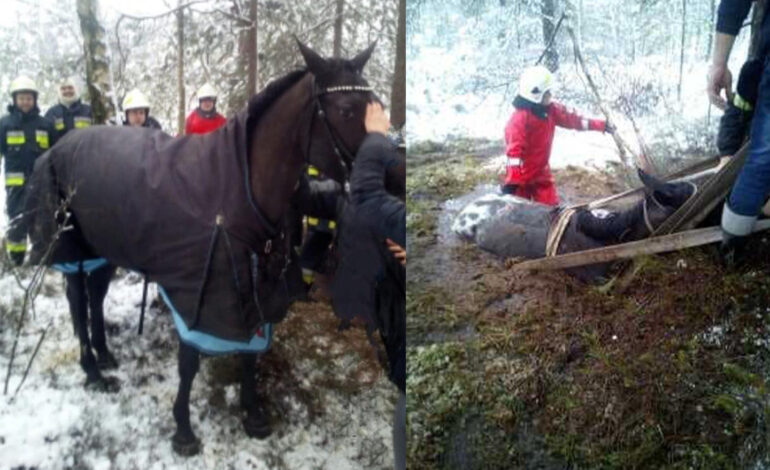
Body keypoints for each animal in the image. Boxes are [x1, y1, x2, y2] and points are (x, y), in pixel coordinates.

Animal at [26, 40, 378, 456]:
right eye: (346, 109)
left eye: (375, 102)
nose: (390, 169)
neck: (236, 186)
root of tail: (60, 145)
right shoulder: (198, 290)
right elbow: (189, 364)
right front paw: (183, 429)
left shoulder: (253, 285)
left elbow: (250, 353)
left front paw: (253, 414)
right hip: (74, 250)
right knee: (78, 304)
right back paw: (93, 371)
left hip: (105, 248)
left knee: (94, 298)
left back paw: (106, 355)